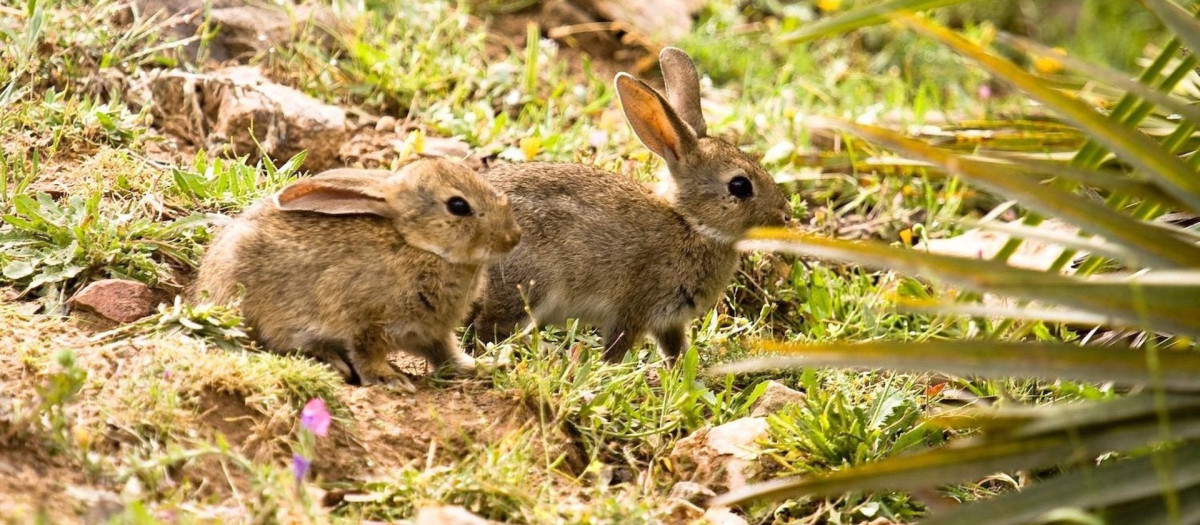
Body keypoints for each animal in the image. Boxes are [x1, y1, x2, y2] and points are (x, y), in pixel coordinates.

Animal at [194, 158, 523, 383]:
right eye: (458, 206)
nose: (513, 237)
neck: (420, 246)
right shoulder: (363, 319)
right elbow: (366, 352)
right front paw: (389, 380)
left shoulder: (433, 333)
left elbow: (447, 356)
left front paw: (486, 366)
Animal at [472, 47, 792, 361]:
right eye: (739, 186)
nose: (785, 215)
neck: (691, 224)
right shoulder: (634, 307)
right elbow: (618, 345)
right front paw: (609, 366)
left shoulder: (670, 321)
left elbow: (676, 351)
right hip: (529, 284)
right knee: (490, 329)